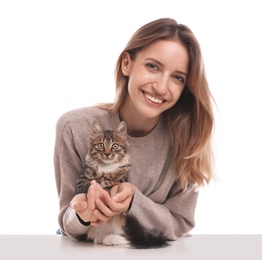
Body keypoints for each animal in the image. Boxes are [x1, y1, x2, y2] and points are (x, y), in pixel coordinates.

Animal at [74, 121, 168, 249]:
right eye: (101, 145)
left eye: (115, 146)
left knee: (132, 239)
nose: (107, 154)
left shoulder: (120, 181)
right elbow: (88, 185)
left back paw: (112, 239)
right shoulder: (80, 182)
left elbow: (109, 187)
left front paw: (104, 192)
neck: (106, 167)